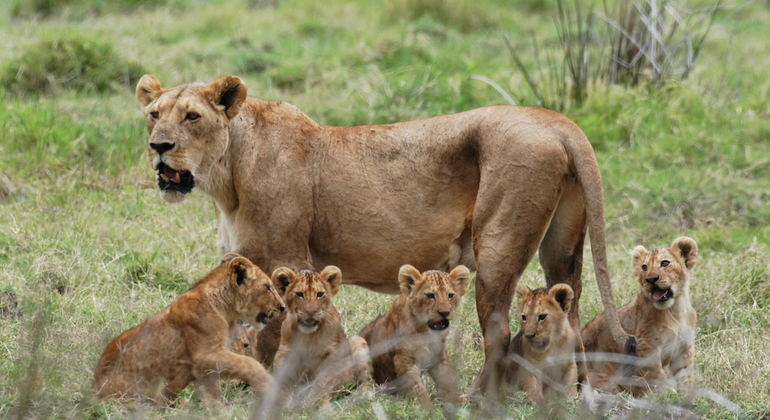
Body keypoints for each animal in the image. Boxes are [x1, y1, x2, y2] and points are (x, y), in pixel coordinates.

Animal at [135, 74, 632, 392]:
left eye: (192, 117)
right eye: (154, 114)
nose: (159, 146)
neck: (227, 174)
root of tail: (558, 121)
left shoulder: (283, 256)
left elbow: (272, 335)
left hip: (498, 247)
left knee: (498, 329)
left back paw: (481, 399)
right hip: (561, 246)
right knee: (568, 309)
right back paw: (571, 390)